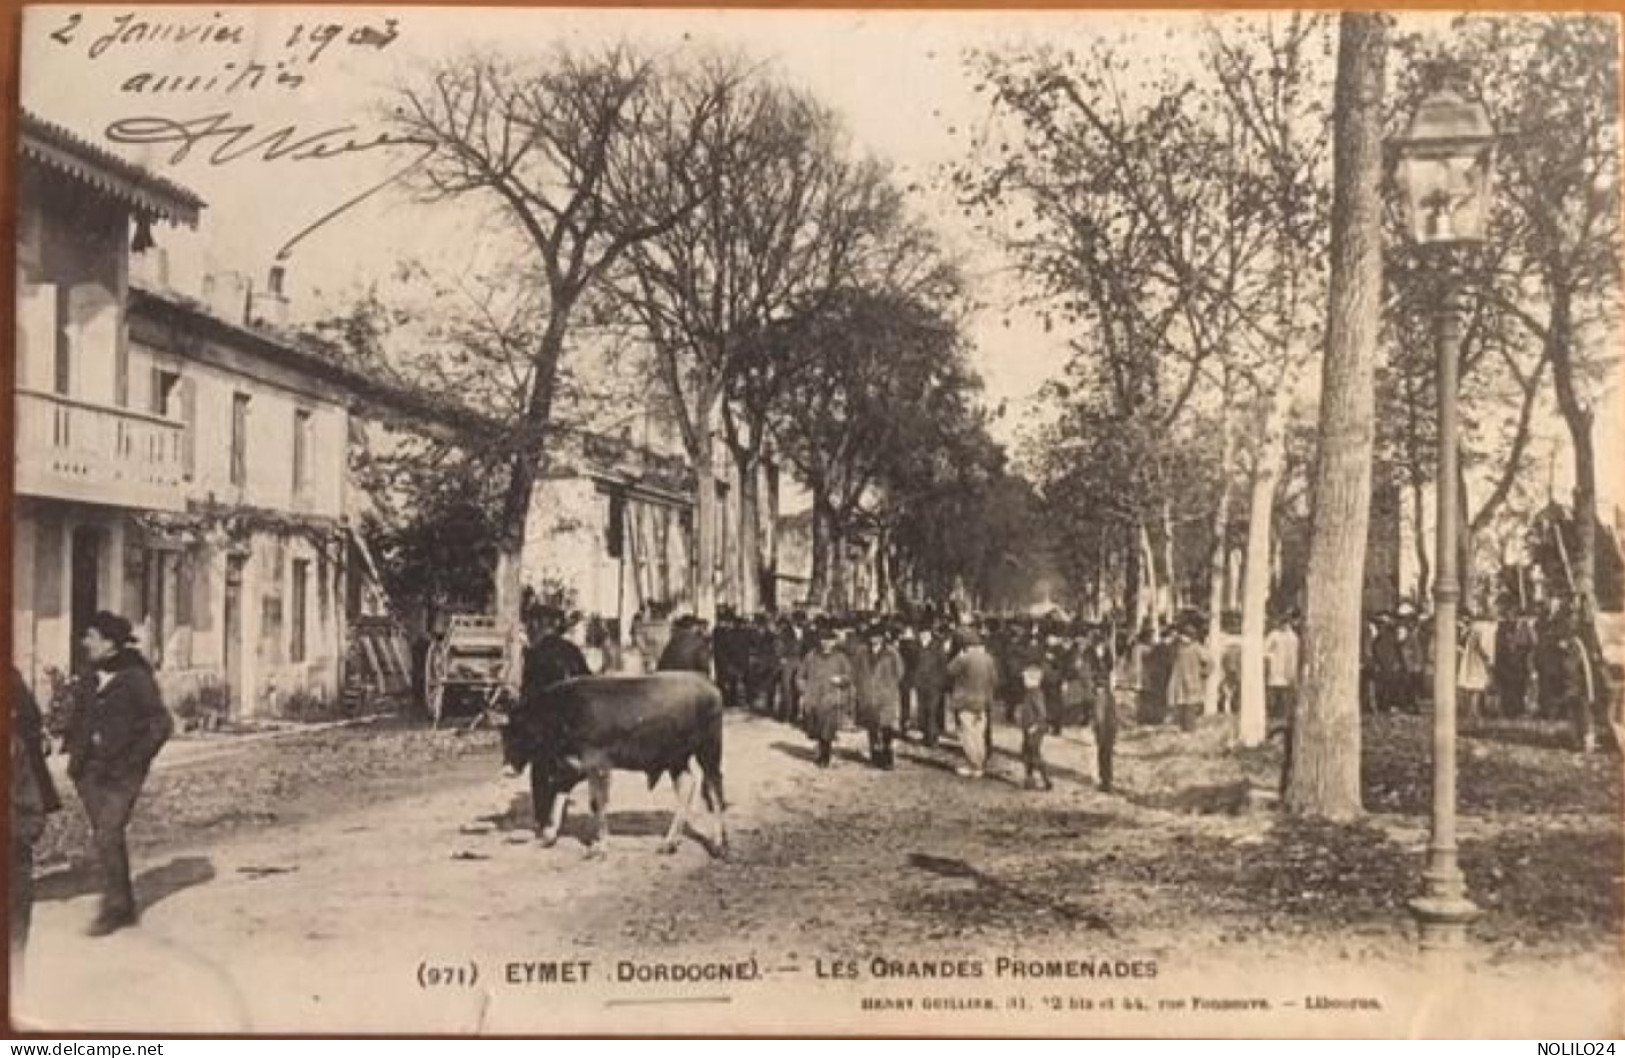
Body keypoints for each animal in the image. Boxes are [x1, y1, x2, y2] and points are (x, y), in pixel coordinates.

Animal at [507, 669, 731, 858]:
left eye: (518, 732)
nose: (509, 769)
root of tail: (710, 686)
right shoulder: (576, 767)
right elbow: (564, 794)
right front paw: (549, 836)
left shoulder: (597, 765)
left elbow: (597, 802)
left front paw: (599, 847)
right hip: (676, 759)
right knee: (687, 785)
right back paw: (669, 843)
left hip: (709, 750)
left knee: (715, 789)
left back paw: (718, 845)